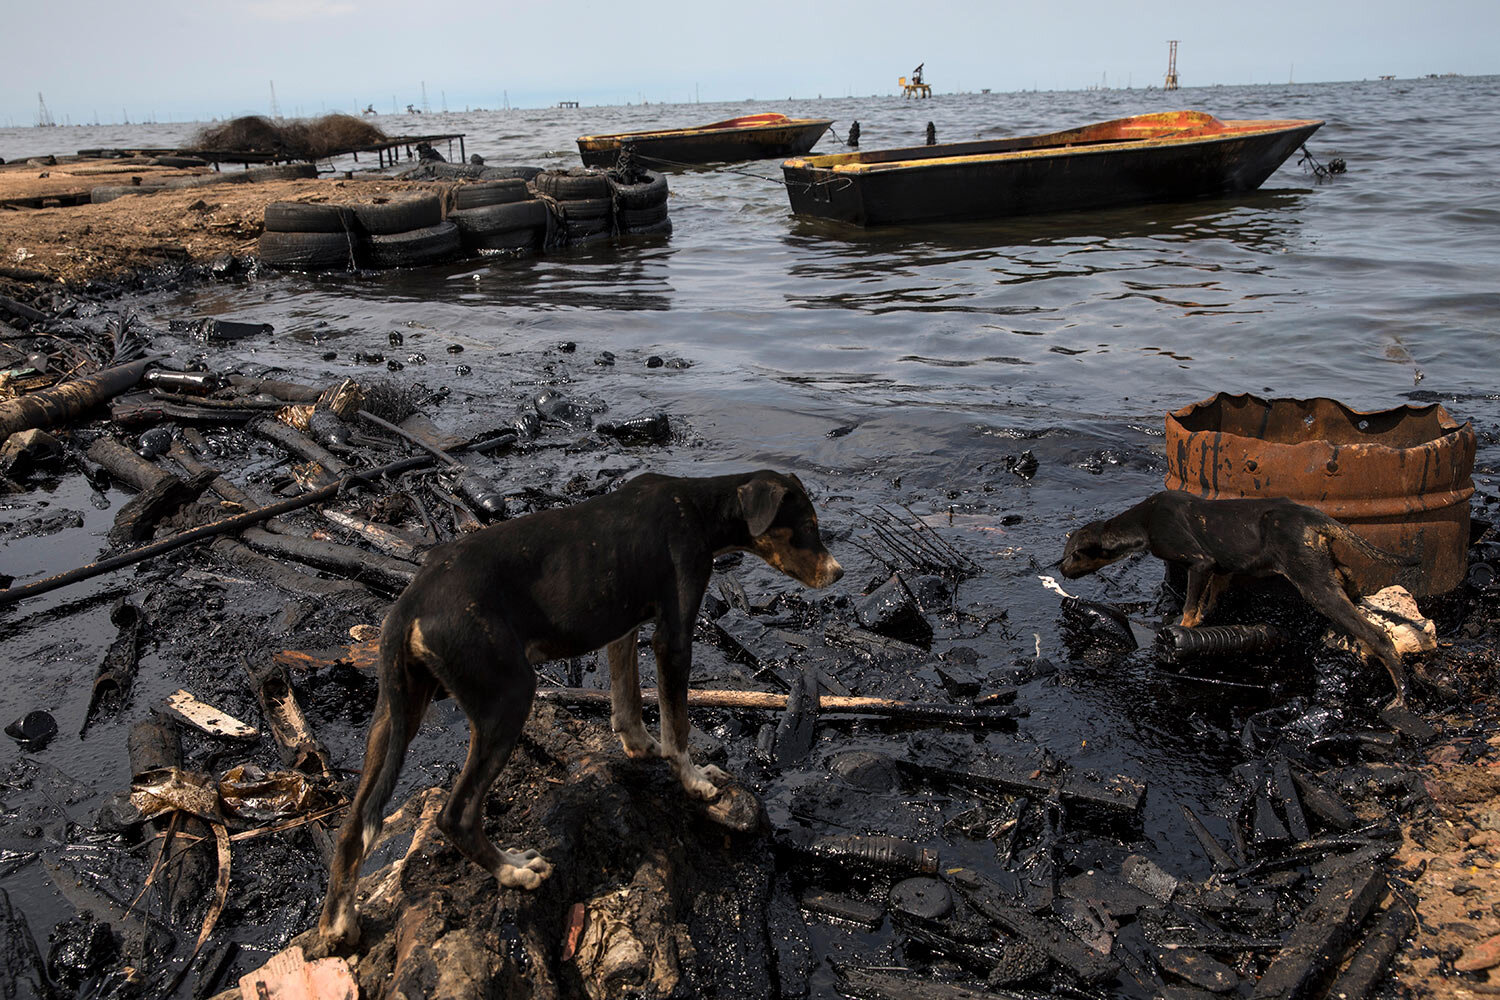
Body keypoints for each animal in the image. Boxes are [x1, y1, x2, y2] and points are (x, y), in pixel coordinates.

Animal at [313, 470, 846, 953]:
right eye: (808, 525)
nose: (839, 573)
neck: (698, 507)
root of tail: (411, 601)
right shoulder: (673, 637)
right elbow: (677, 725)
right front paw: (695, 782)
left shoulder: (623, 626)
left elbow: (627, 702)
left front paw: (641, 748)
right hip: (507, 697)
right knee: (455, 815)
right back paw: (515, 871)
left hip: (394, 713)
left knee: (353, 825)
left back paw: (338, 924)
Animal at [1056, 491, 1416, 710]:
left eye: (1071, 555)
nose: (1059, 569)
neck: (1143, 522)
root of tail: (1312, 517)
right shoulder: (1222, 568)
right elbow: (1208, 601)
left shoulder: (1199, 562)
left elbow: (1190, 607)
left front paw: (1183, 633)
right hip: (1323, 565)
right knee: (1348, 577)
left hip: (1312, 582)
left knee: (1377, 635)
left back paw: (1400, 693)